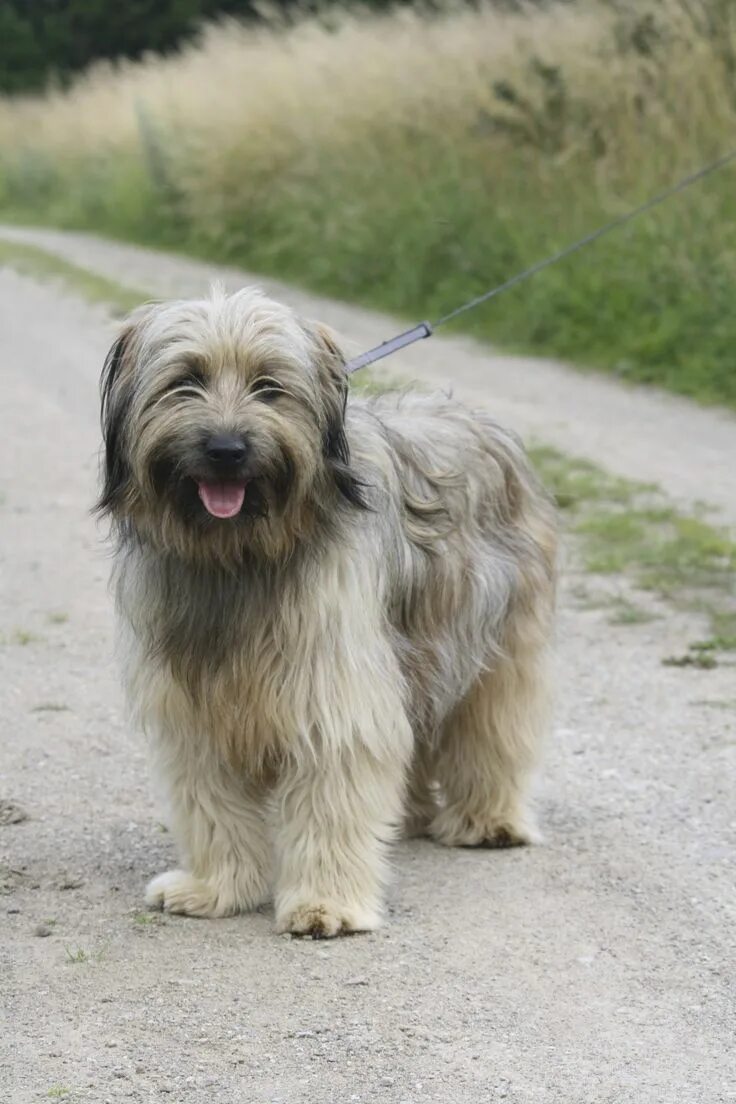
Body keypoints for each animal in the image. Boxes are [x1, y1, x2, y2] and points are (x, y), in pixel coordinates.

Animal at [97, 282, 558, 931]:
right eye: (186, 380)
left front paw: (326, 904)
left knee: (494, 726)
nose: (226, 449)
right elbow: (211, 804)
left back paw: (487, 820)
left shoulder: (333, 687)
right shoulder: (194, 708)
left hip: (496, 642)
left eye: (268, 385)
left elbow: (333, 789)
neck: (240, 558)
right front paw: (215, 888)